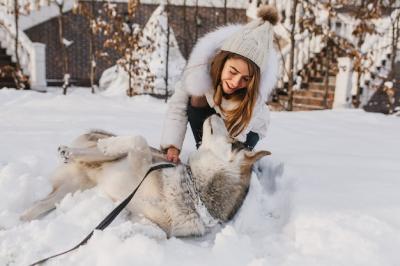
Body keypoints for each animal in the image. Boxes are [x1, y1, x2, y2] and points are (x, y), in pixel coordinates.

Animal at [20, 114, 270, 237]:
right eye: (232, 138)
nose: (218, 113)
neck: (193, 191)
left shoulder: (150, 221)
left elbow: (153, 232)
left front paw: (119, 233)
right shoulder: (139, 160)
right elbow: (138, 138)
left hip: (71, 188)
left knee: (37, 206)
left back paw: (19, 221)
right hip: (93, 164)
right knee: (98, 150)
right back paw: (76, 150)